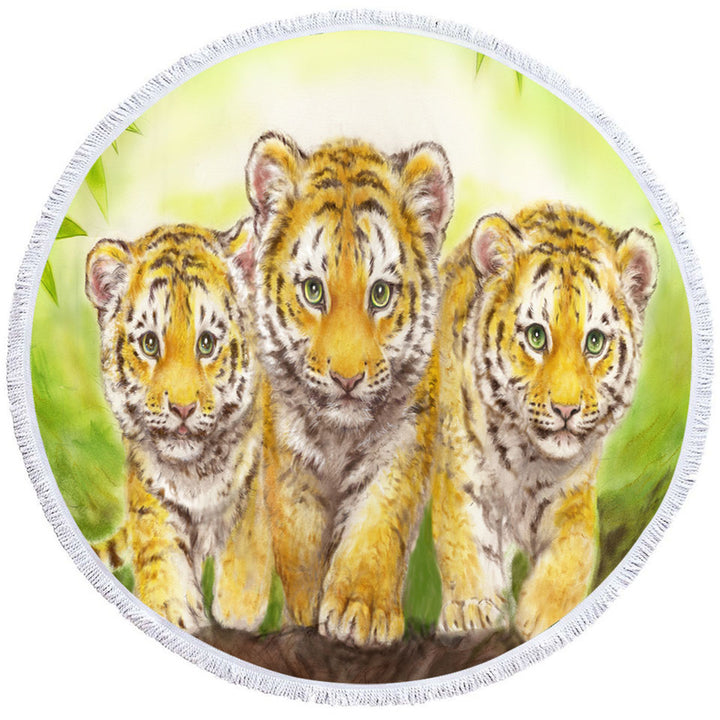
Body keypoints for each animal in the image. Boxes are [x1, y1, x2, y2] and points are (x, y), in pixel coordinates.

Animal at [86, 221, 272, 633]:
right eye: (149, 344)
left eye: (206, 344)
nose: (183, 408)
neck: (195, 472)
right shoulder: (150, 485)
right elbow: (160, 549)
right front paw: (169, 608)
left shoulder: (257, 472)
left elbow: (248, 533)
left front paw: (238, 609)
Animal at [244, 132, 453, 646]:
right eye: (313, 291)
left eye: (379, 294)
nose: (346, 378)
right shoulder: (288, 462)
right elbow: (298, 546)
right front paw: (306, 613)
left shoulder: (400, 450)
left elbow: (375, 530)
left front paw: (362, 610)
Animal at [430, 202, 658, 640]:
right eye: (536, 337)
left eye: (594, 342)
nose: (566, 410)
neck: (526, 458)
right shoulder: (461, 475)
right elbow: (464, 543)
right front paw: (472, 610)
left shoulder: (573, 493)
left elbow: (571, 557)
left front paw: (544, 616)